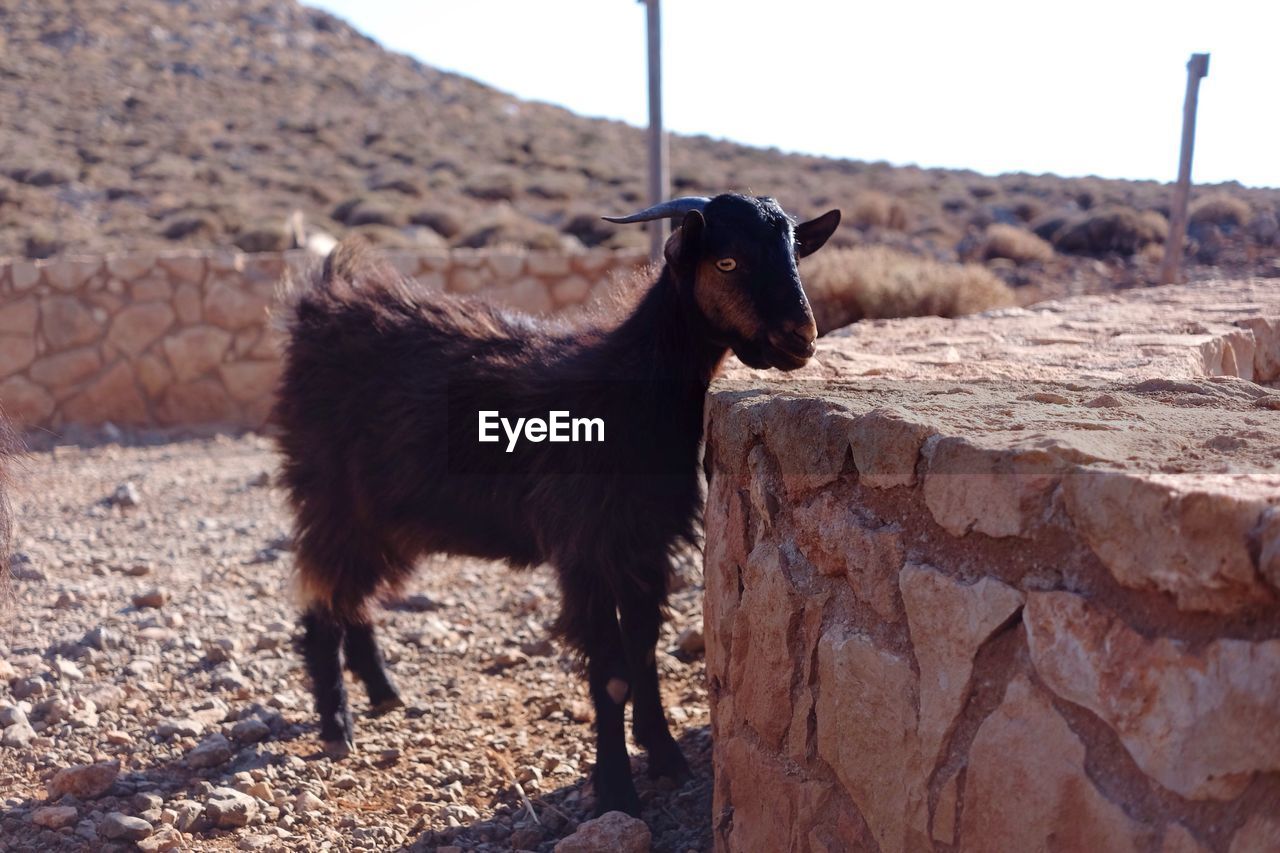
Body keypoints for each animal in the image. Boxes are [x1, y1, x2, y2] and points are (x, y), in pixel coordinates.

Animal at [272, 190, 839, 809]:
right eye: (727, 262)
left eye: (796, 254)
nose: (800, 338)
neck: (626, 393)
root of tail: (321, 303)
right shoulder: (586, 548)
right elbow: (612, 674)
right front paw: (616, 790)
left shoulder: (645, 546)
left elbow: (644, 652)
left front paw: (664, 756)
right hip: (332, 498)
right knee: (321, 600)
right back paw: (336, 724)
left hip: (385, 517)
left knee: (353, 597)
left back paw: (382, 691)